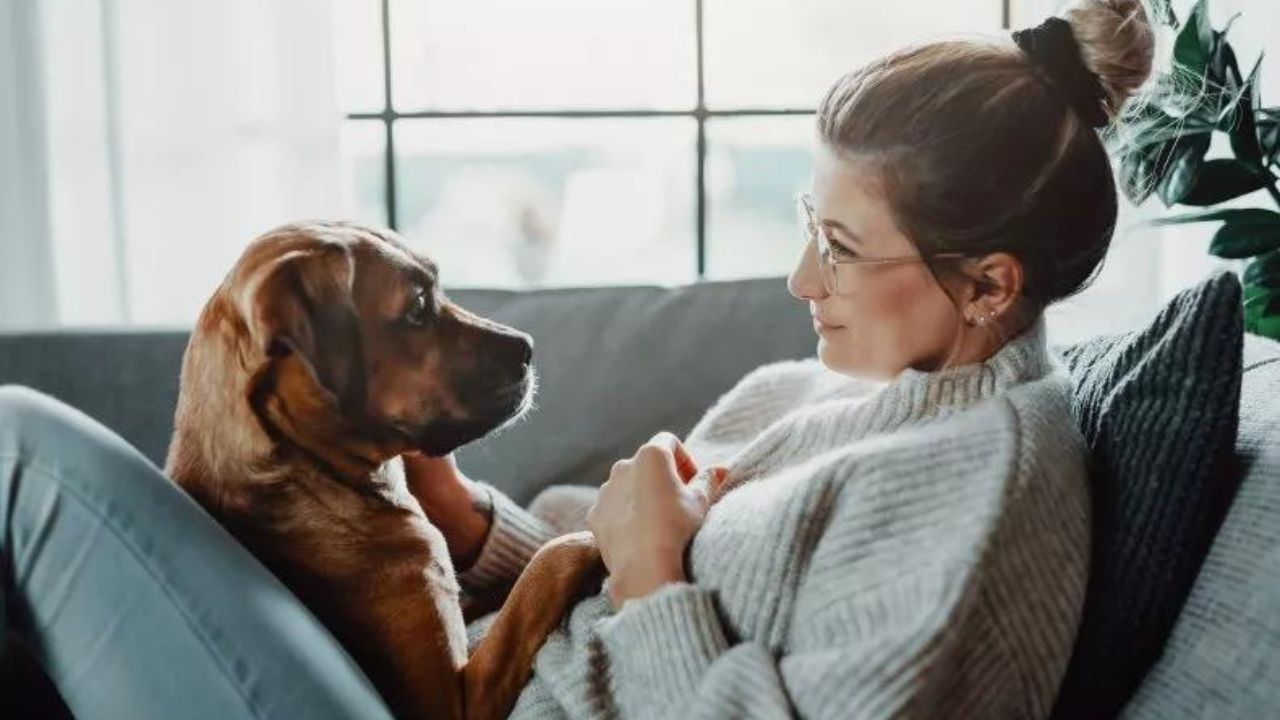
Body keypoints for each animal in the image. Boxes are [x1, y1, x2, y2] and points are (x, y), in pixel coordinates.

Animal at [166, 221, 604, 712]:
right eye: (417, 309)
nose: (529, 347)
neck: (309, 474)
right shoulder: (453, 701)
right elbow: (543, 569)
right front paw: (594, 535)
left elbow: (505, 588)